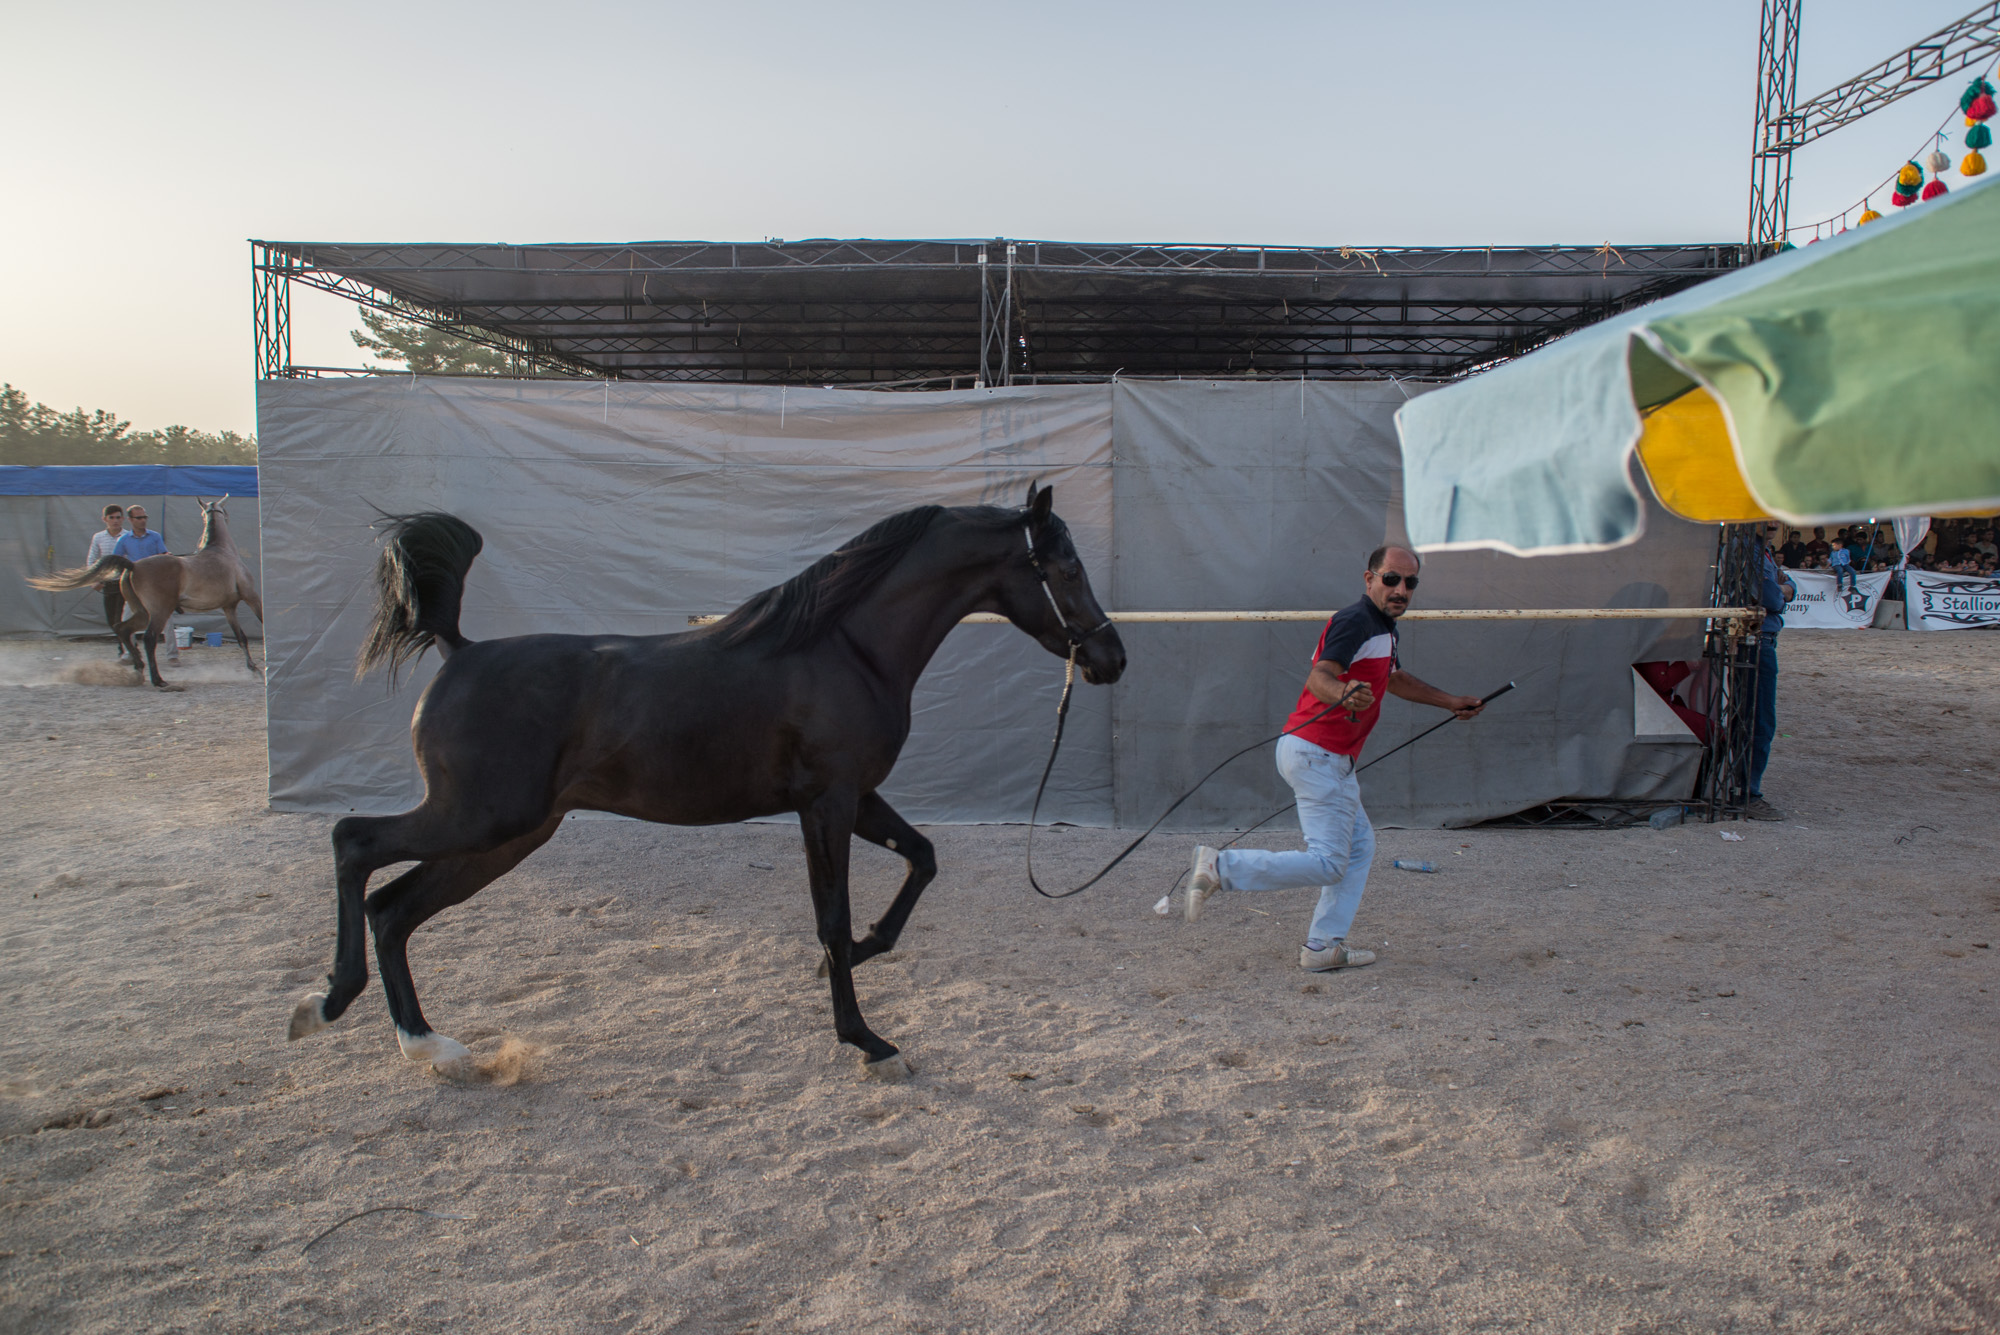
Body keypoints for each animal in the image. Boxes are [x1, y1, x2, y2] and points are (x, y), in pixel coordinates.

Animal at [31, 497, 264, 687]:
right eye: (225, 510)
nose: (229, 517)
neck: (221, 551)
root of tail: (133, 565)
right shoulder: (251, 597)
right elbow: (260, 623)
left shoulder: (228, 607)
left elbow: (241, 638)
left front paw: (254, 669)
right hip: (160, 612)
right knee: (149, 638)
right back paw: (158, 679)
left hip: (143, 613)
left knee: (122, 629)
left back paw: (138, 668)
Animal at [290, 485, 1128, 1079]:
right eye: (1066, 567)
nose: (1110, 657)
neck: (844, 646)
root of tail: (458, 651)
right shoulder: (826, 803)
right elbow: (830, 916)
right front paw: (864, 1037)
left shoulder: (856, 798)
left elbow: (921, 860)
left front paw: (865, 952)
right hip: (479, 818)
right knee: (354, 844)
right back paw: (326, 1000)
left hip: (503, 837)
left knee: (393, 909)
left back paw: (430, 1046)